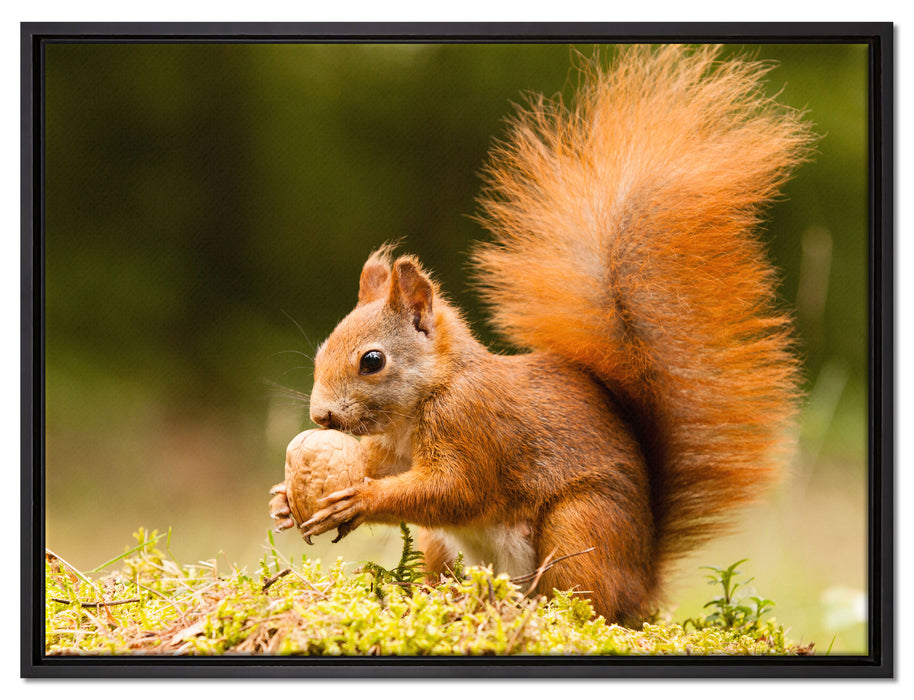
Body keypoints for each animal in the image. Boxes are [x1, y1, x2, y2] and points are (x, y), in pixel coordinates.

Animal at [270, 44, 816, 624]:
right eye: (322, 350)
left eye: (372, 361)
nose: (320, 416)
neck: (427, 397)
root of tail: (643, 584)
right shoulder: (395, 449)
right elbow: (384, 467)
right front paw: (283, 497)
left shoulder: (474, 426)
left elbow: (456, 490)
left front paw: (360, 499)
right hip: (447, 546)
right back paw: (446, 597)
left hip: (581, 524)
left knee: (583, 600)